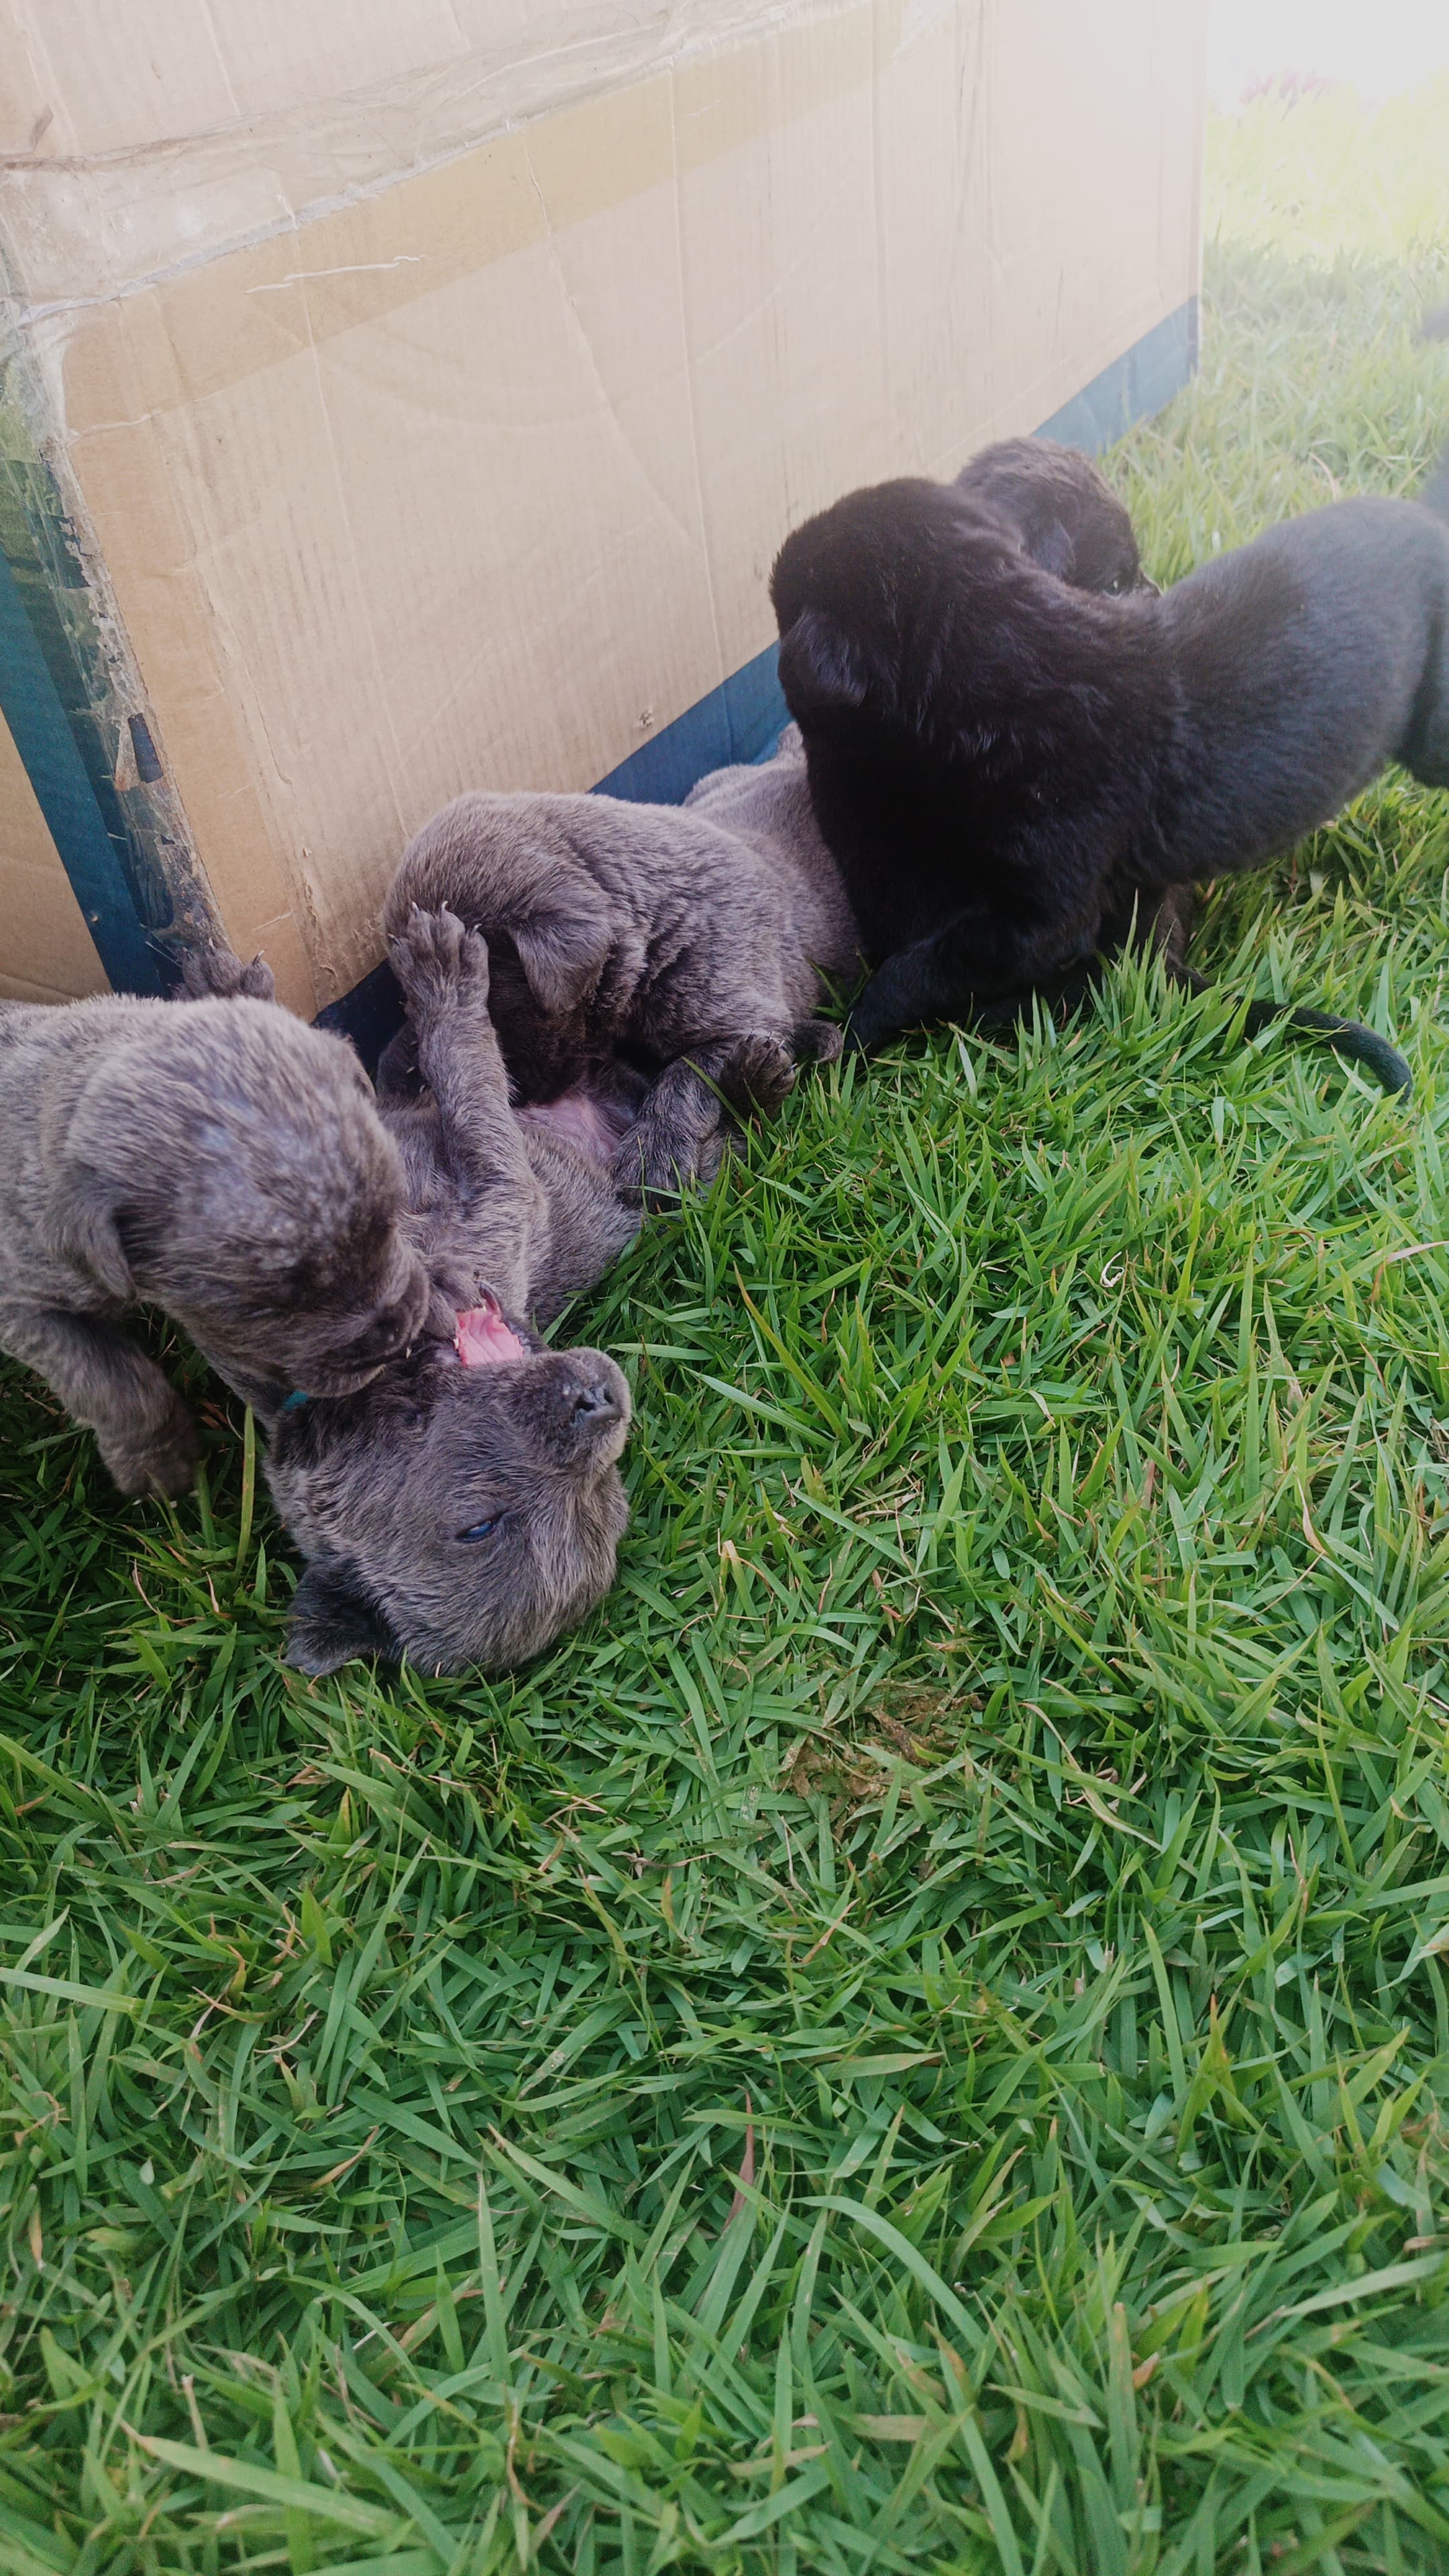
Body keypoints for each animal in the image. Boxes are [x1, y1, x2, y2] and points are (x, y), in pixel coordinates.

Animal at [0, 968, 428, 1504]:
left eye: (388, 1220)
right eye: (265, 1310)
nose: (397, 1339)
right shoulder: (22, 1304)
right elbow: (112, 1386)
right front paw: (159, 1463)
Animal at [378, 726, 861, 1195]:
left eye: (491, 1010)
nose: (524, 1100)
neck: (656, 928)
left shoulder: (741, 1012)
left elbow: (684, 1072)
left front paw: (653, 1156)